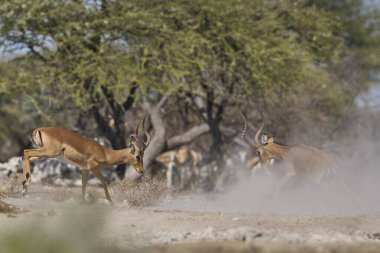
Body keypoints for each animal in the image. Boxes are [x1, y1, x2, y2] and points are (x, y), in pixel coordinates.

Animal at [22, 115, 151, 203]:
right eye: (138, 156)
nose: (141, 171)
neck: (104, 153)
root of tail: (38, 129)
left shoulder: (85, 169)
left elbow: (84, 185)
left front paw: (83, 202)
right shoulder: (93, 168)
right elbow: (104, 182)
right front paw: (110, 201)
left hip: (43, 153)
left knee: (26, 156)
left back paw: (24, 188)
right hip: (49, 152)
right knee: (26, 152)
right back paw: (24, 188)